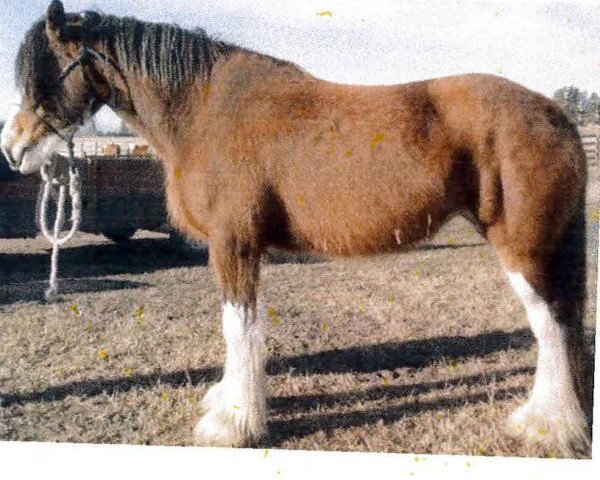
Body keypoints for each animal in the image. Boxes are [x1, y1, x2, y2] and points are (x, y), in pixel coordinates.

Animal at [0, 0, 592, 458]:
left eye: (44, 72)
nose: (14, 149)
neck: (205, 109)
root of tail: (553, 112)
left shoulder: (234, 245)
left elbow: (238, 327)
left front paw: (233, 424)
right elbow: (241, 327)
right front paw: (228, 402)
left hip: (523, 248)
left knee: (552, 326)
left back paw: (546, 426)